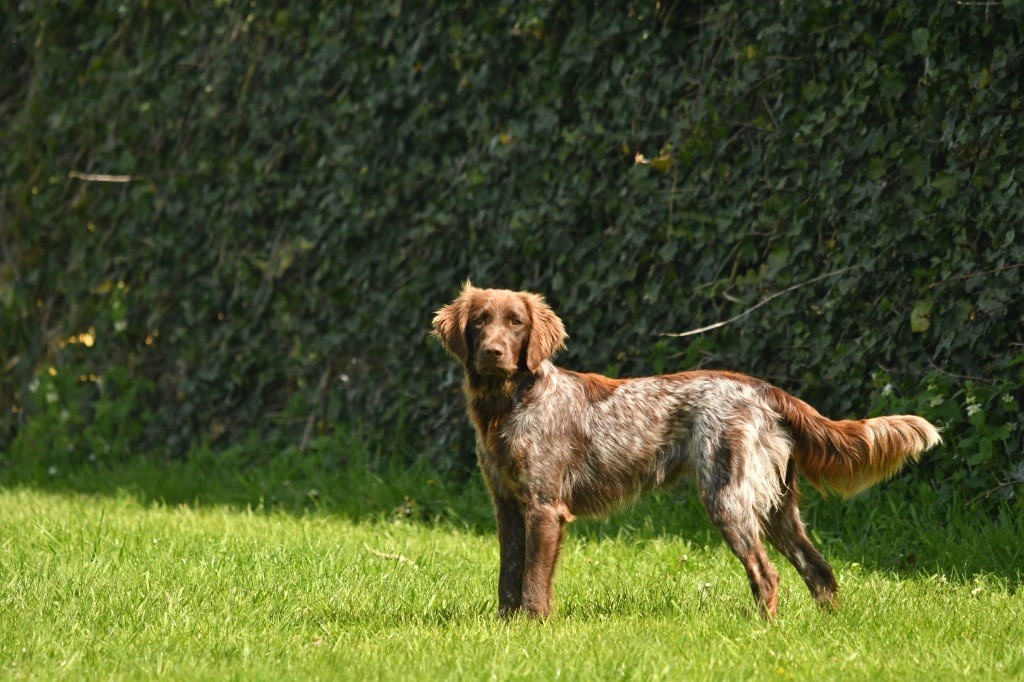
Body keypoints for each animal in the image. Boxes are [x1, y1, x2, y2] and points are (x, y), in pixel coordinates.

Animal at [428, 280, 937, 614]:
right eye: (481, 322)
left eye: (516, 323)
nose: (493, 353)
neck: (509, 404)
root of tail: (762, 389)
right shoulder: (508, 506)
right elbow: (508, 577)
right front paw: (506, 626)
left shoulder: (544, 507)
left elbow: (533, 583)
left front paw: (532, 628)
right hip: (777, 508)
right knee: (819, 570)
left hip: (728, 498)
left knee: (766, 573)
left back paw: (762, 630)